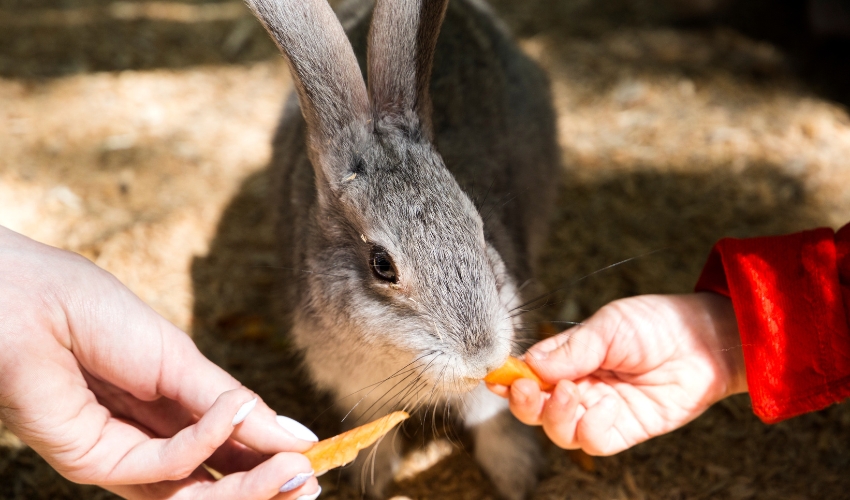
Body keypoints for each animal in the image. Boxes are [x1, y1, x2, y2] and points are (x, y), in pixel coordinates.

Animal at [242, 0, 560, 496]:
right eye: (382, 265)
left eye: (479, 227)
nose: (483, 355)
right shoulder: (357, 391)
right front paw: (371, 482)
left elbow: (493, 420)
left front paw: (517, 479)